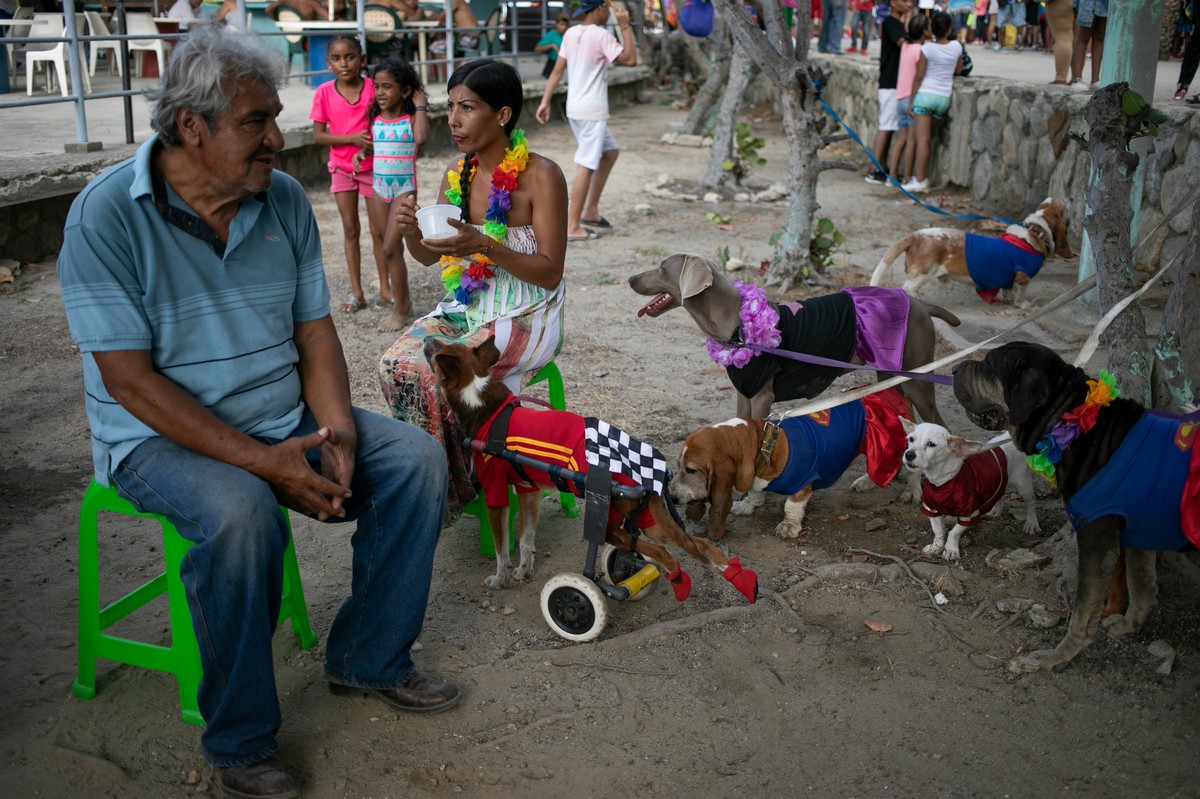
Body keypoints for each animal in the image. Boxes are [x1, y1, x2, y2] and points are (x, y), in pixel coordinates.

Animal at [427, 333, 753, 604]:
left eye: (438, 350)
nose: (427, 339)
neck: (484, 404)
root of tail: (652, 475)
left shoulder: (496, 497)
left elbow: (501, 550)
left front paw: (501, 578)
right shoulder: (527, 491)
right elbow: (526, 540)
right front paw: (524, 571)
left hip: (612, 526)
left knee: (663, 554)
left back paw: (678, 582)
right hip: (650, 523)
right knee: (701, 545)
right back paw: (738, 577)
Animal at [633, 253, 960, 422]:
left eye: (662, 268)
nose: (630, 278)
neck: (736, 325)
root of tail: (919, 303)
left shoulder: (762, 396)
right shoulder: (744, 393)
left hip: (917, 378)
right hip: (889, 376)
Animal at [672, 388, 912, 537]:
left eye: (691, 470)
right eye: (678, 465)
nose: (673, 498)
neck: (762, 444)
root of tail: (894, 392)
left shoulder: (803, 483)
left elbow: (791, 505)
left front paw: (788, 527)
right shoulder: (756, 477)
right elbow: (755, 492)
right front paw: (747, 506)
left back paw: (907, 492)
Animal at [868, 196, 1075, 304]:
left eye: (1049, 202)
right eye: (1062, 205)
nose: (1070, 197)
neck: (1035, 230)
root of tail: (915, 235)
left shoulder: (1011, 278)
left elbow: (1008, 290)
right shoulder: (1023, 277)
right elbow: (1019, 293)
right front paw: (1022, 305)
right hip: (925, 272)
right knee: (909, 287)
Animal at [902, 417, 1041, 559]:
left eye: (931, 444)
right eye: (911, 439)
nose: (909, 454)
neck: (943, 481)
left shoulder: (969, 514)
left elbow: (954, 532)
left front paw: (951, 549)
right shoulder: (932, 509)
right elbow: (938, 530)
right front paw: (936, 547)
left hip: (1022, 483)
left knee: (1031, 502)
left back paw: (1031, 524)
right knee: (1000, 492)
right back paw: (996, 509)